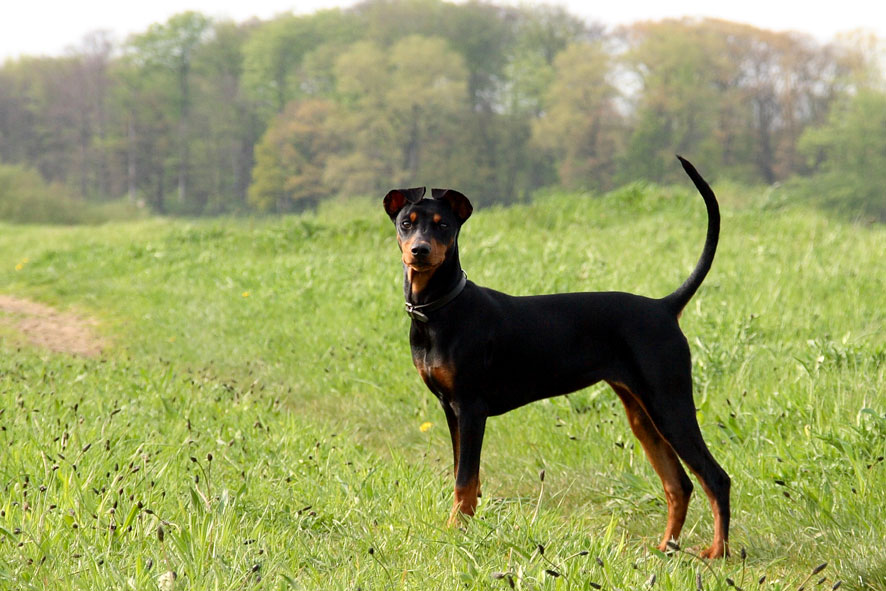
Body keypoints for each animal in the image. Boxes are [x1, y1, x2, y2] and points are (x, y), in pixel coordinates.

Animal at [386, 157, 732, 560]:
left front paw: (457, 532)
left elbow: (465, 480)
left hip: (669, 404)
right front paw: (464, 529)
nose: (420, 251)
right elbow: (466, 479)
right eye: (406, 223)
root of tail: (664, 307)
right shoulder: (450, 409)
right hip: (642, 414)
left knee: (715, 478)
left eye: (444, 226)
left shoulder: (471, 408)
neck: (439, 310)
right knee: (679, 484)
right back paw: (666, 548)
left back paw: (717, 552)